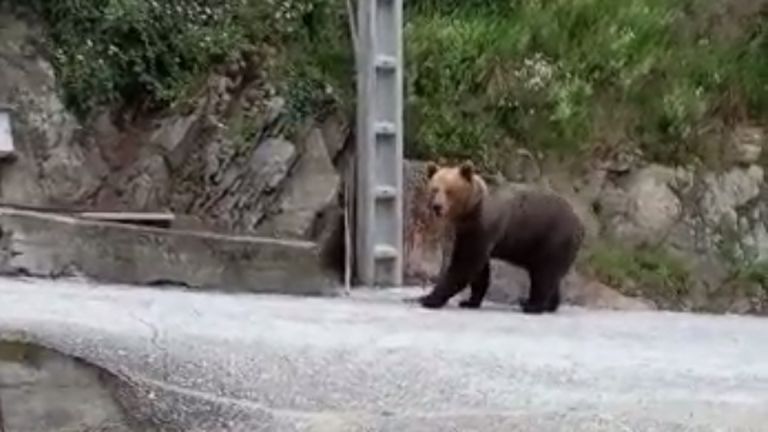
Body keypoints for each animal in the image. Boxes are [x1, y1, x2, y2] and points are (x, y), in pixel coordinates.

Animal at [416, 160, 584, 312]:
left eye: (450, 191)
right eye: (434, 189)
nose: (437, 207)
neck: (470, 211)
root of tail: (580, 225)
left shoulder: (483, 227)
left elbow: (465, 264)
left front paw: (430, 298)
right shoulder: (466, 232)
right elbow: (480, 271)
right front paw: (469, 301)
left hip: (553, 238)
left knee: (544, 274)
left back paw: (532, 305)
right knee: (549, 275)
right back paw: (548, 305)